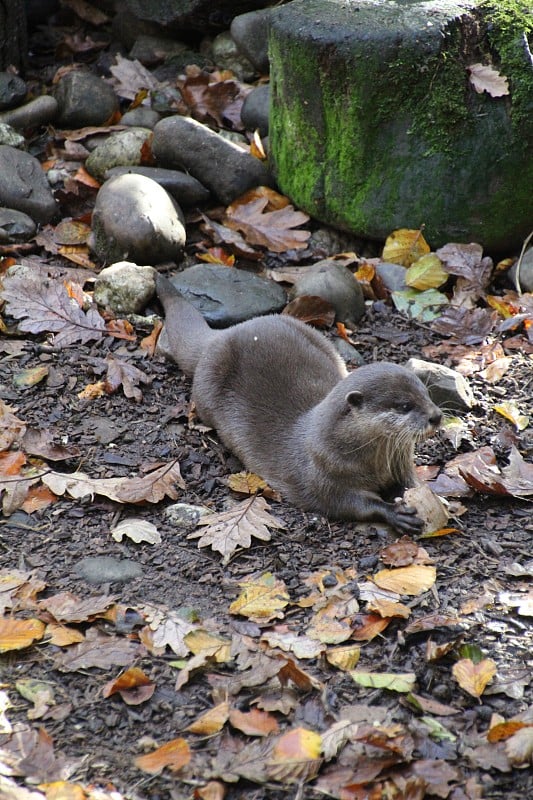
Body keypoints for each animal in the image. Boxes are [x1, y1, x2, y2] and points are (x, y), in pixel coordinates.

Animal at [156, 276, 442, 532]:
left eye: (426, 394)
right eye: (404, 405)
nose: (437, 416)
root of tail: (218, 336)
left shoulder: (400, 462)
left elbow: (410, 482)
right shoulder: (323, 476)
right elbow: (349, 504)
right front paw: (395, 513)